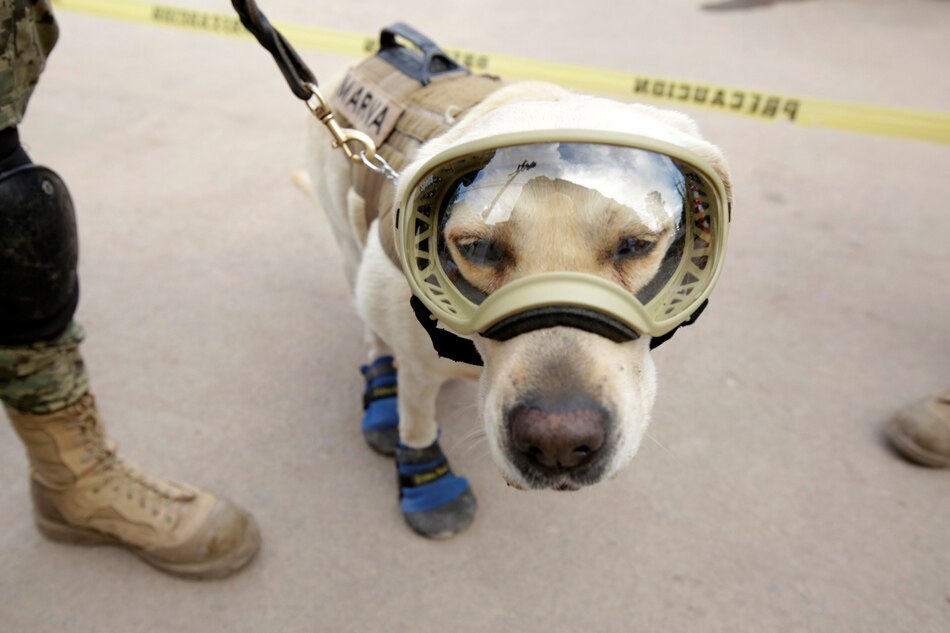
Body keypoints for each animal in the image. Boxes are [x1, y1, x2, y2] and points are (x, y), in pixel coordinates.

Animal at [294, 39, 732, 536]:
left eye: (636, 243)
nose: (560, 443)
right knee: (373, 333)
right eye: (478, 248)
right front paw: (429, 487)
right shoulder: (416, 366)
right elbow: (417, 423)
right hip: (349, 245)